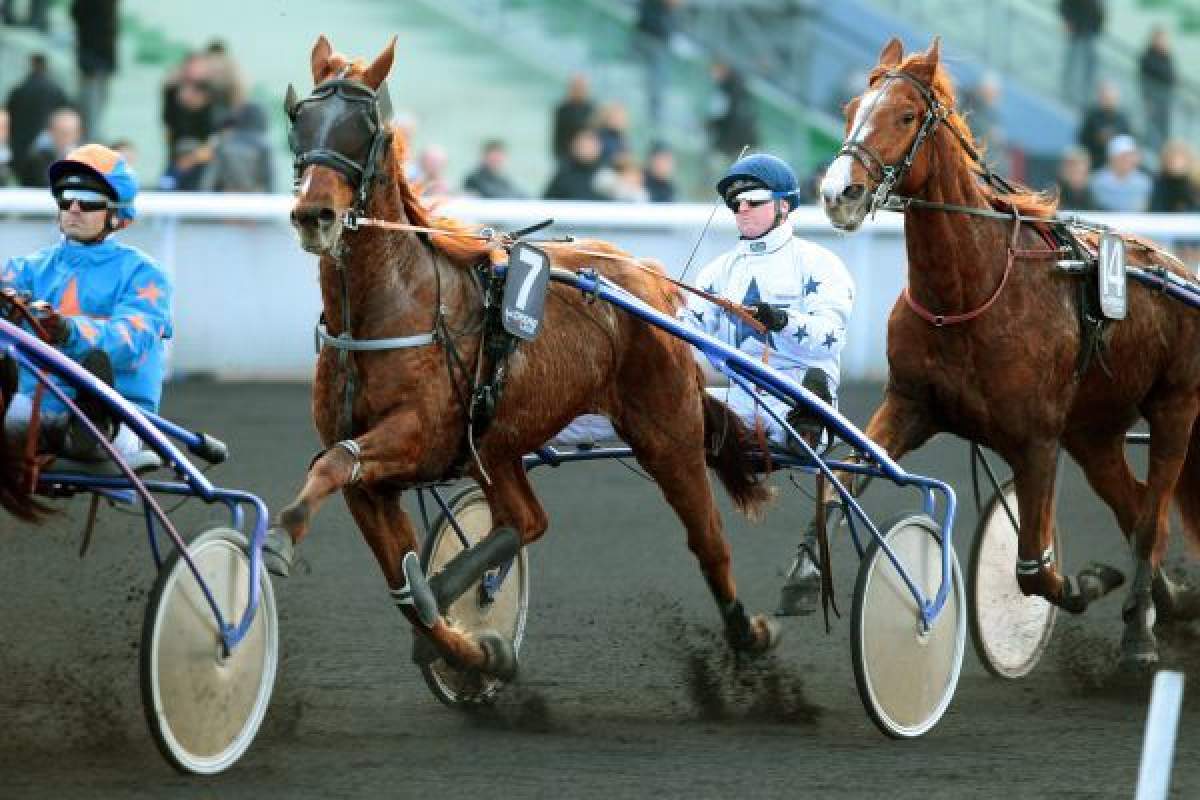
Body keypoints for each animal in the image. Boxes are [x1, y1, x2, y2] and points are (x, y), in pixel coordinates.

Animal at [269, 34, 779, 678]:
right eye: (301, 120)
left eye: (365, 130)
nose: (314, 215)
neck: (397, 307)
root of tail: (650, 279)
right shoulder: (375, 487)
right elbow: (405, 589)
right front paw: (477, 649)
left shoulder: (417, 434)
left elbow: (336, 463)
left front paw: (279, 539)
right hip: (500, 445)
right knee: (528, 519)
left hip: (667, 431)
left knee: (706, 535)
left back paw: (746, 631)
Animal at [819, 37, 1200, 666]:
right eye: (851, 108)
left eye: (906, 115)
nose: (837, 194)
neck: (967, 294)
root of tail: (1177, 267)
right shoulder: (909, 404)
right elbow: (840, 484)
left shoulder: (1037, 440)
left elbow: (1031, 568)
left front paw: (1085, 583)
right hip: (1094, 432)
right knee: (1135, 507)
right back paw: (1166, 607)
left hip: (1175, 407)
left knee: (1151, 519)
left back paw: (1139, 636)